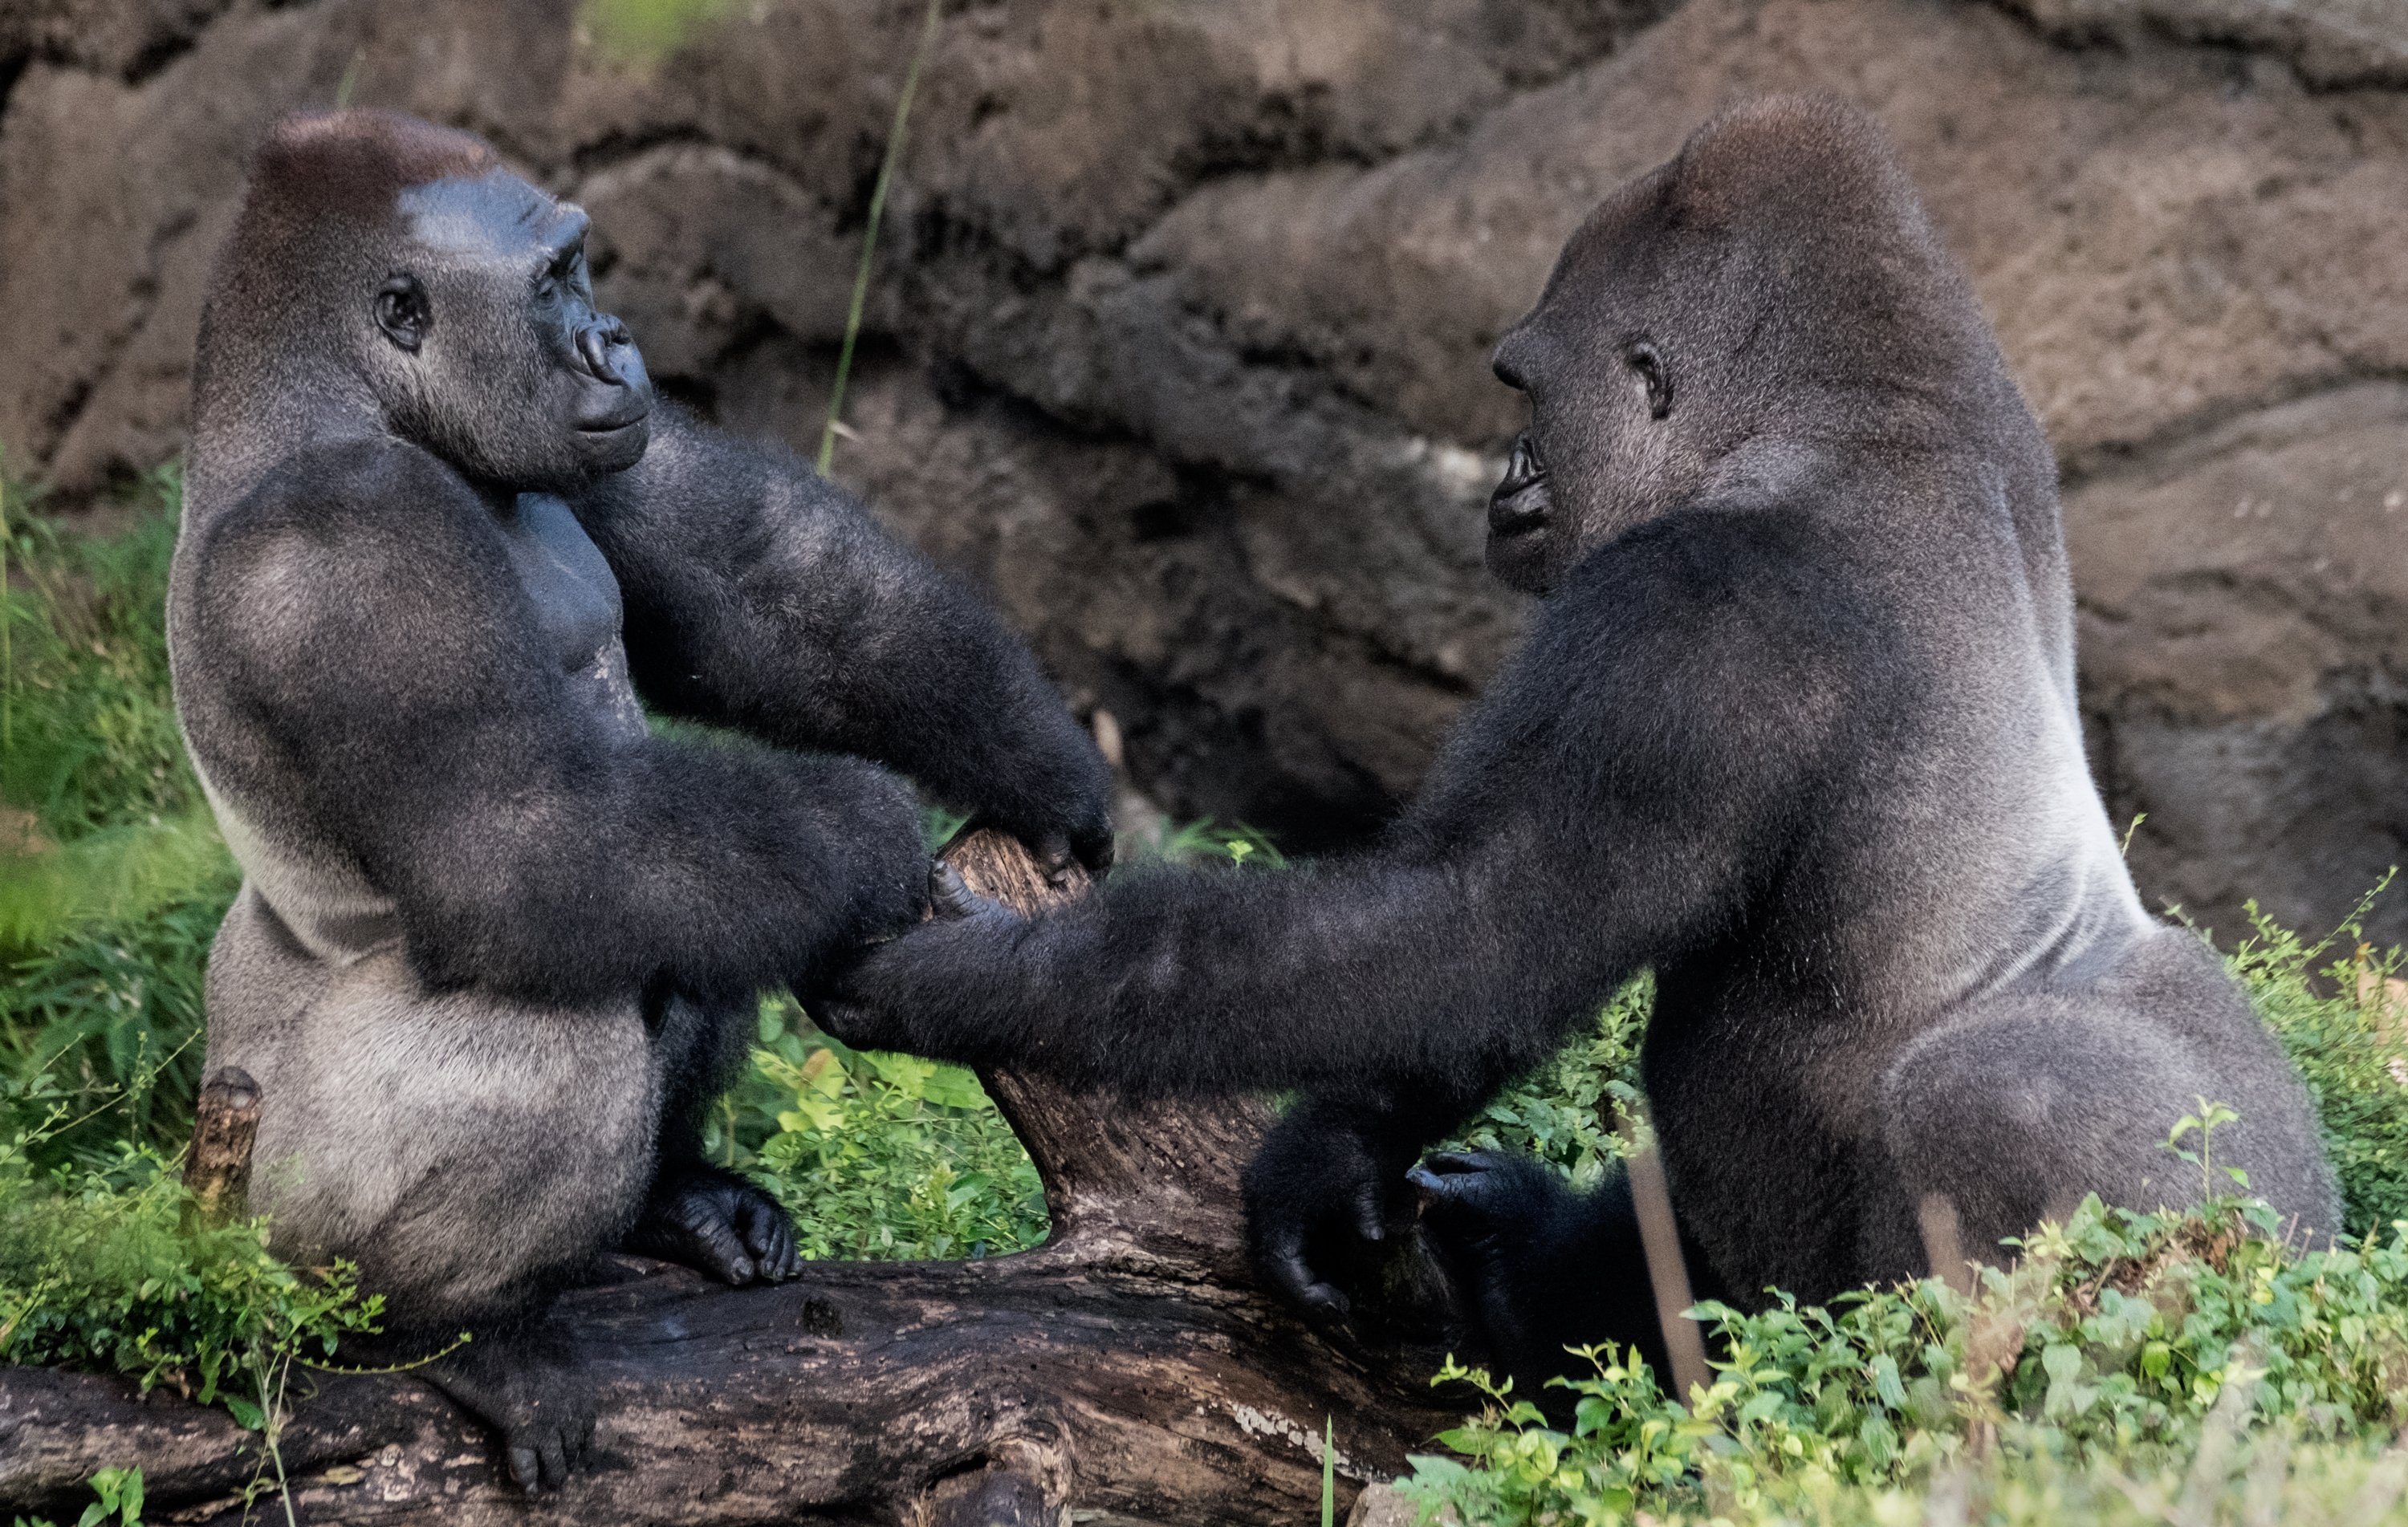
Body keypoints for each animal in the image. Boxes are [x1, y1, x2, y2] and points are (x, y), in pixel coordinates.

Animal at [169, 110, 1108, 1483]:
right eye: (556, 280)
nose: (614, 340)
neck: (343, 403)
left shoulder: (584, 450)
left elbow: (754, 581)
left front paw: (1036, 759)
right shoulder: (348, 536)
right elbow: (521, 843)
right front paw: (870, 831)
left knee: (691, 901)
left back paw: (677, 1200)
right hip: (261, 1215)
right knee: (551, 1001)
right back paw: (446, 1330)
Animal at [824, 89, 2331, 1387]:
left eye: (1523, 386)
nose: (1507, 478)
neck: (1866, 409)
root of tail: (2323, 1260)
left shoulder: (1688, 611)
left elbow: (1474, 924)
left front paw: (955, 976)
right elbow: (1457, 957)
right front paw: (1343, 1157)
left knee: (1996, 1087)